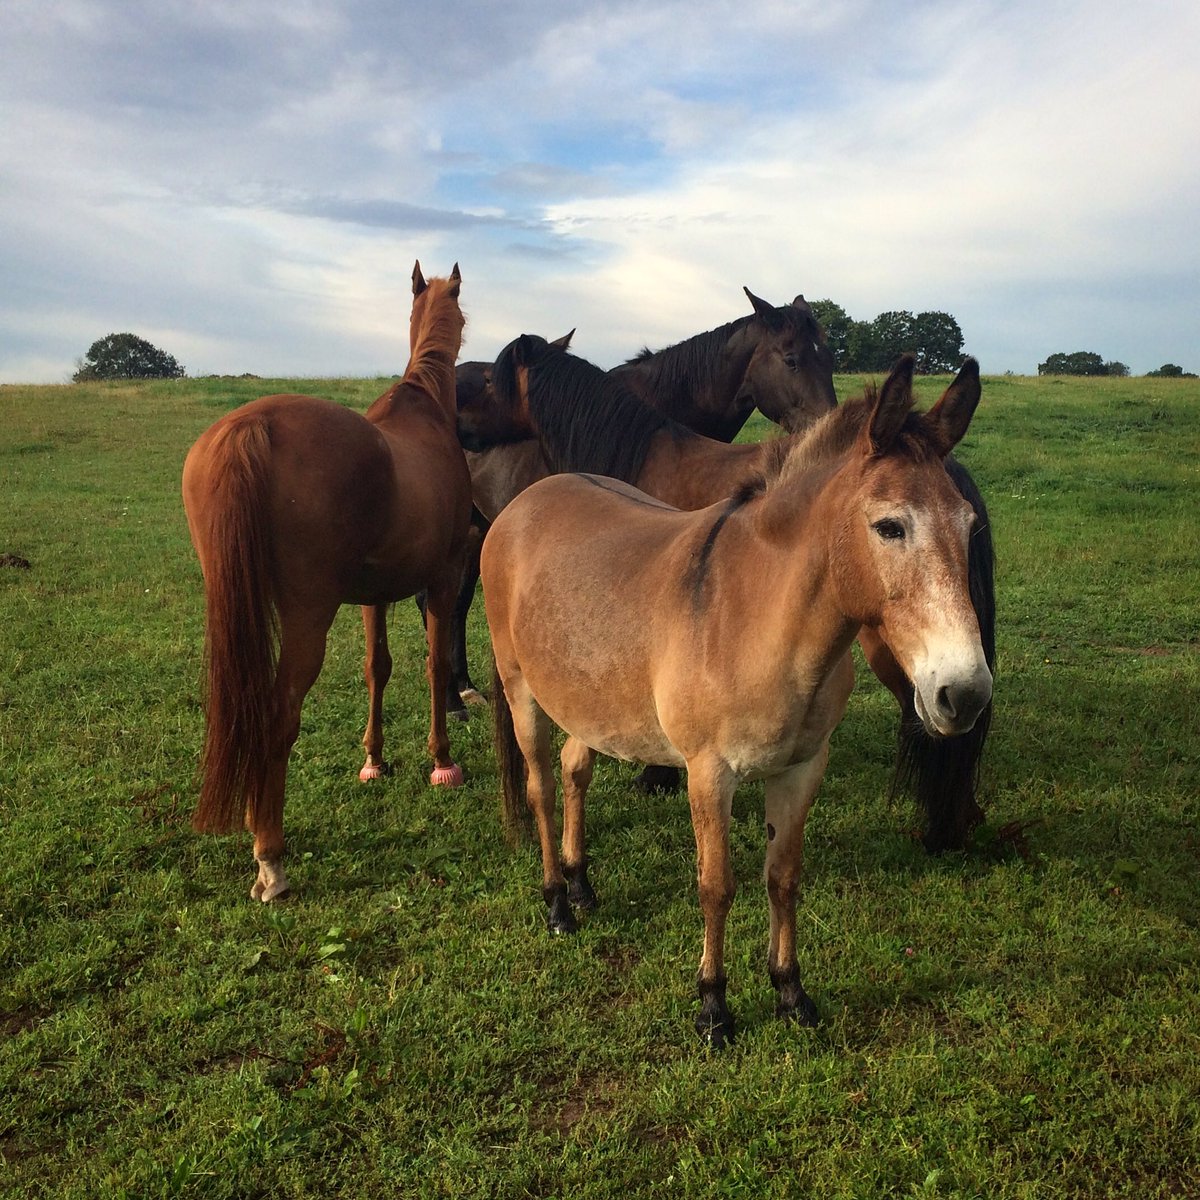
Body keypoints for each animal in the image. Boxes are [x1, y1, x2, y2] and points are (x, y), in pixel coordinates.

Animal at [182, 262, 472, 901]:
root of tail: (252, 425)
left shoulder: (371, 597)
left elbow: (376, 668)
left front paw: (374, 759)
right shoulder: (442, 581)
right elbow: (436, 664)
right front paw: (441, 761)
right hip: (308, 613)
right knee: (278, 713)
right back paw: (270, 856)